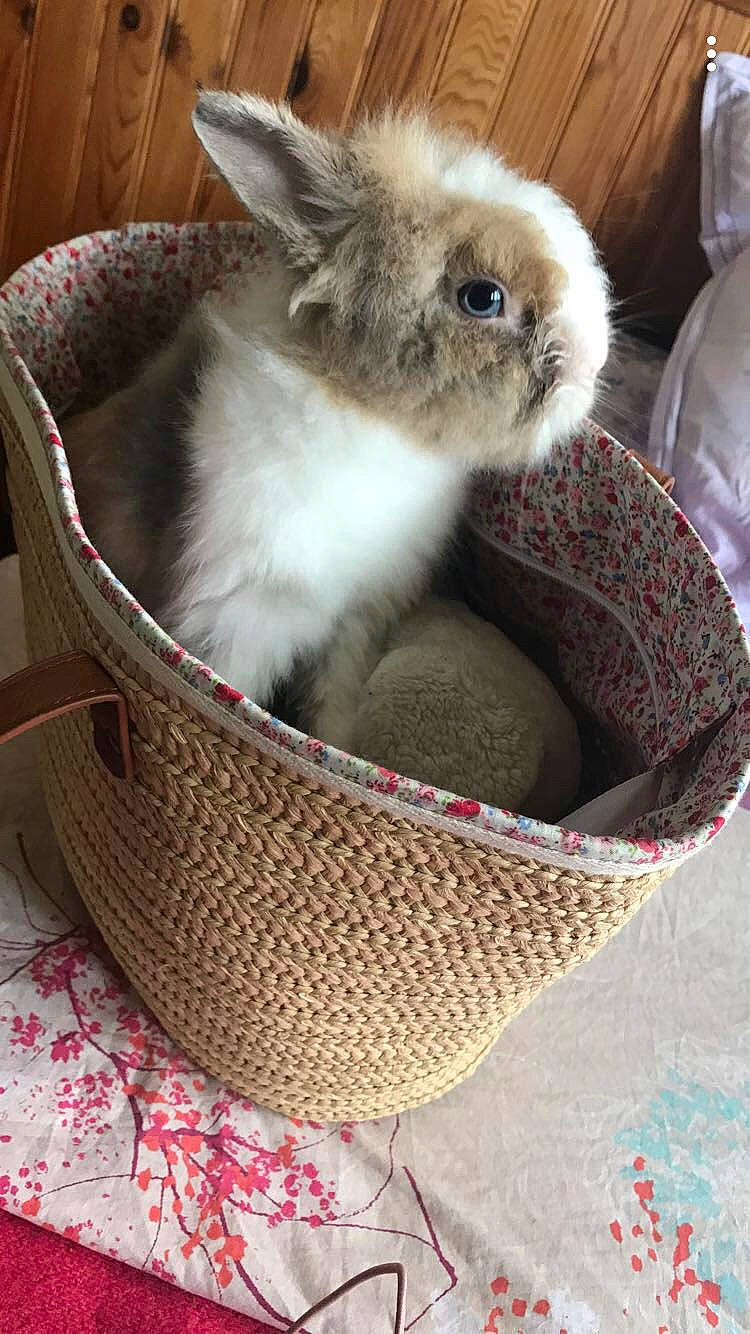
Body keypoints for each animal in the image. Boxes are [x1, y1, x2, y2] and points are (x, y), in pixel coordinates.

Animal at [63, 92, 610, 750]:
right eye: (482, 297)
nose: (588, 369)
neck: (378, 424)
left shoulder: (357, 620)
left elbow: (336, 705)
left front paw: (338, 747)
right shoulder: (237, 617)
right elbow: (239, 690)